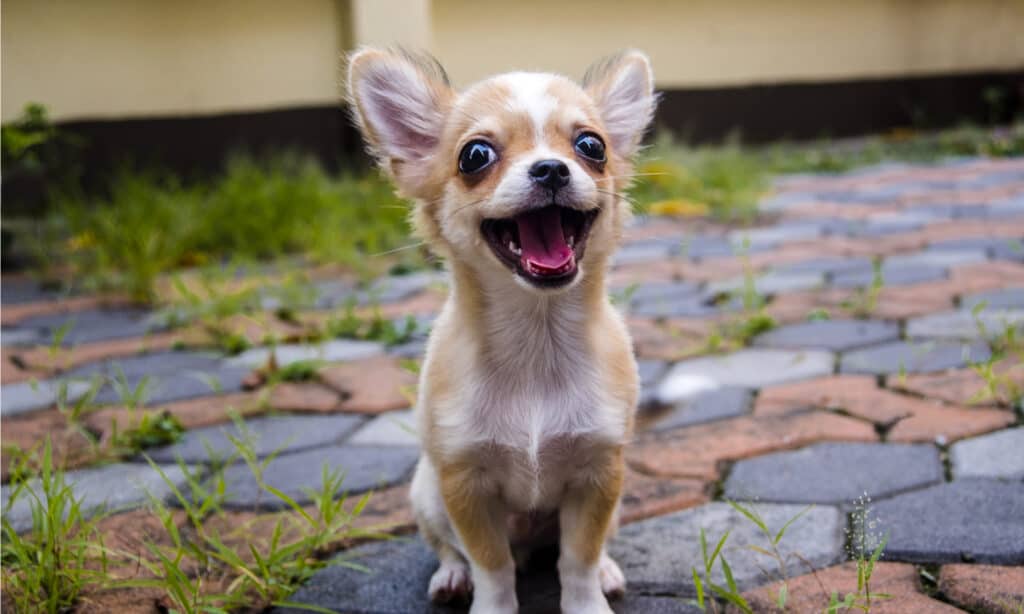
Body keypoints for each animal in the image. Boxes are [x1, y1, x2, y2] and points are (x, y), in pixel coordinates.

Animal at [346, 45, 655, 609]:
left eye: (591, 147)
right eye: (475, 156)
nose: (551, 169)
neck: (537, 338)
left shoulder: (600, 474)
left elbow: (577, 559)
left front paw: (587, 601)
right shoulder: (464, 483)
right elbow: (492, 565)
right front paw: (491, 604)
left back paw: (606, 569)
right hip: (427, 492)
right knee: (451, 548)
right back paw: (451, 577)